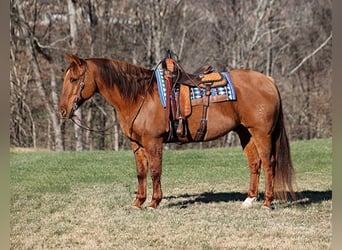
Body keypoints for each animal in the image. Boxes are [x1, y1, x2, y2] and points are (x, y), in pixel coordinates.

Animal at [58, 53, 294, 209]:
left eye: (74, 79)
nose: (62, 111)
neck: (140, 96)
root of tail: (268, 80)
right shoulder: (137, 144)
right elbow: (141, 172)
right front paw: (138, 202)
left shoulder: (153, 141)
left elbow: (155, 170)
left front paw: (154, 202)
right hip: (245, 132)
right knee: (254, 163)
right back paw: (249, 199)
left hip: (262, 133)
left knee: (269, 163)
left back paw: (267, 202)